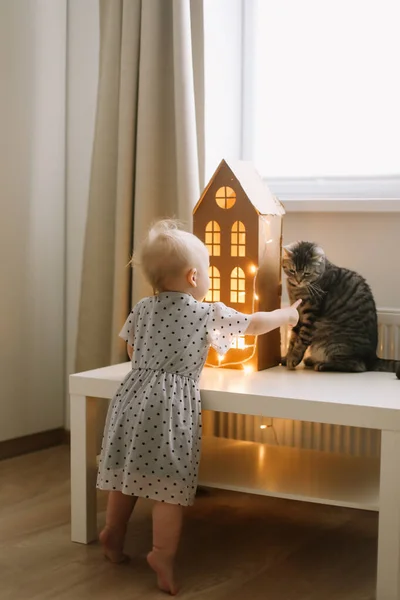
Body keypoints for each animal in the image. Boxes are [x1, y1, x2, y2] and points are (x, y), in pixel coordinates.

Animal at [282, 240, 400, 378]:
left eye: (307, 273)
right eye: (292, 271)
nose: (298, 280)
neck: (296, 290)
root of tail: (372, 357)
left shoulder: (310, 315)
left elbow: (300, 340)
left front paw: (293, 358)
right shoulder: (297, 314)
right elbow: (292, 339)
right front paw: (286, 357)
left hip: (333, 340)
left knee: (357, 366)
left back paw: (321, 365)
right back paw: (312, 360)